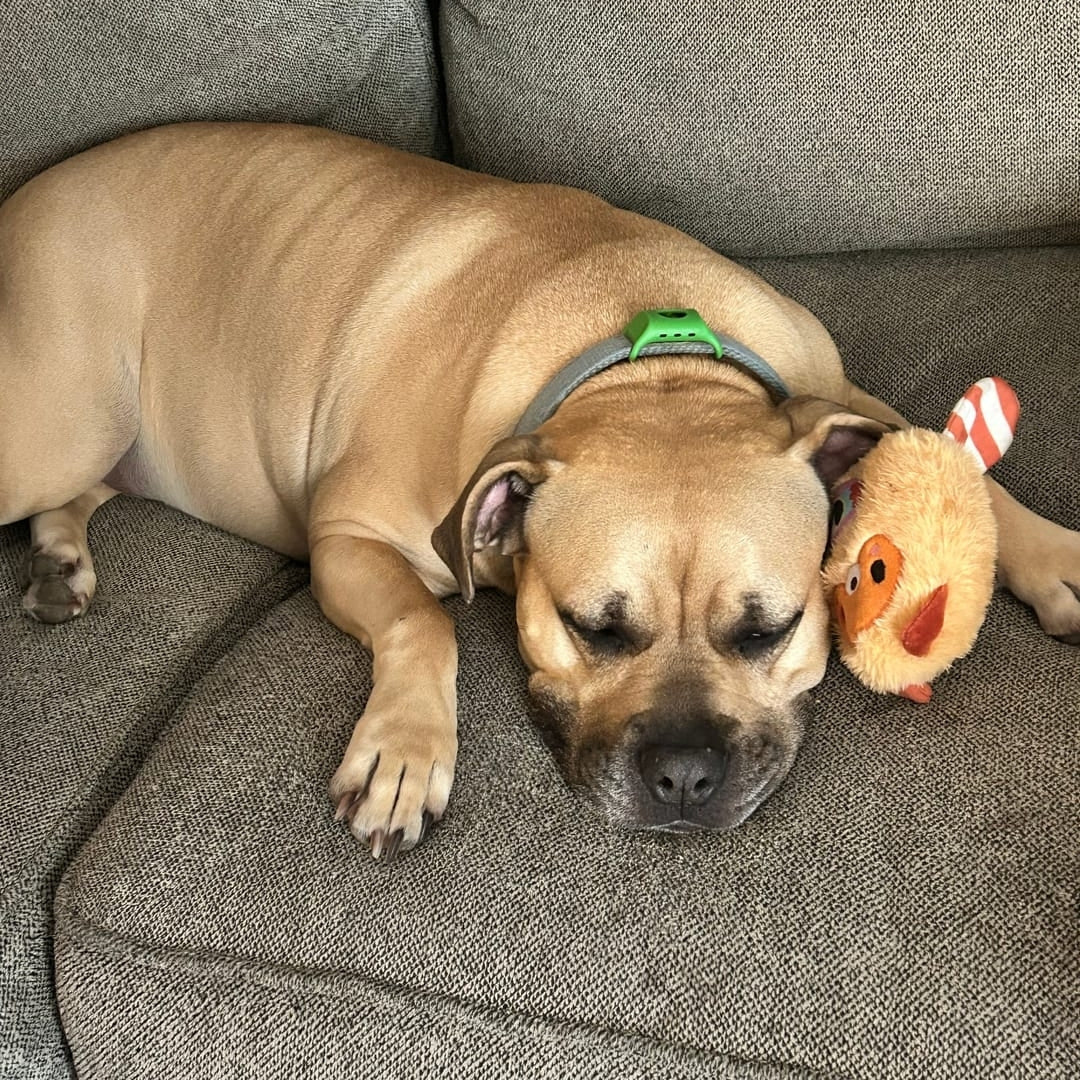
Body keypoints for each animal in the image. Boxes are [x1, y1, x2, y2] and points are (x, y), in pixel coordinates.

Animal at [2, 123, 1078, 859]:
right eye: (592, 627)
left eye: (769, 629)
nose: (684, 777)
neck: (653, 364)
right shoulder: (348, 534)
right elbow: (422, 619)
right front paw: (404, 755)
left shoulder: (841, 395)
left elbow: (943, 454)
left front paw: (1052, 555)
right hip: (67, 416)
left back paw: (60, 559)